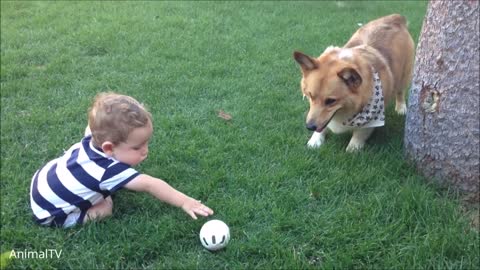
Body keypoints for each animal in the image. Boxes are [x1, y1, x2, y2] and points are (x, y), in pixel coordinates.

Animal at [294, 13, 414, 152]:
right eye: (310, 96)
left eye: (331, 101)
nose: (309, 127)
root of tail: (395, 18)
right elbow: (321, 126)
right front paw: (315, 140)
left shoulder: (370, 121)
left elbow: (359, 134)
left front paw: (352, 149)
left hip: (404, 74)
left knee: (400, 91)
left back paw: (401, 108)